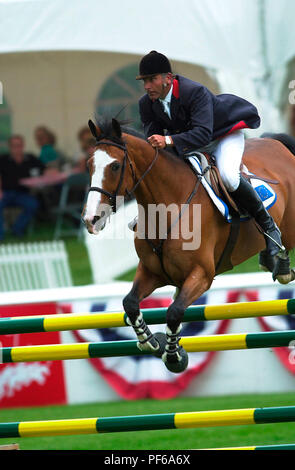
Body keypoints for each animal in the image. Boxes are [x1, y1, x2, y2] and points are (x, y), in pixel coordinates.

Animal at [82, 118, 295, 374]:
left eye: (114, 166)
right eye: (89, 165)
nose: (91, 219)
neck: (167, 207)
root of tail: (278, 144)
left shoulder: (201, 275)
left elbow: (174, 312)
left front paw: (174, 356)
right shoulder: (153, 273)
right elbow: (130, 303)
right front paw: (151, 342)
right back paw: (274, 261)